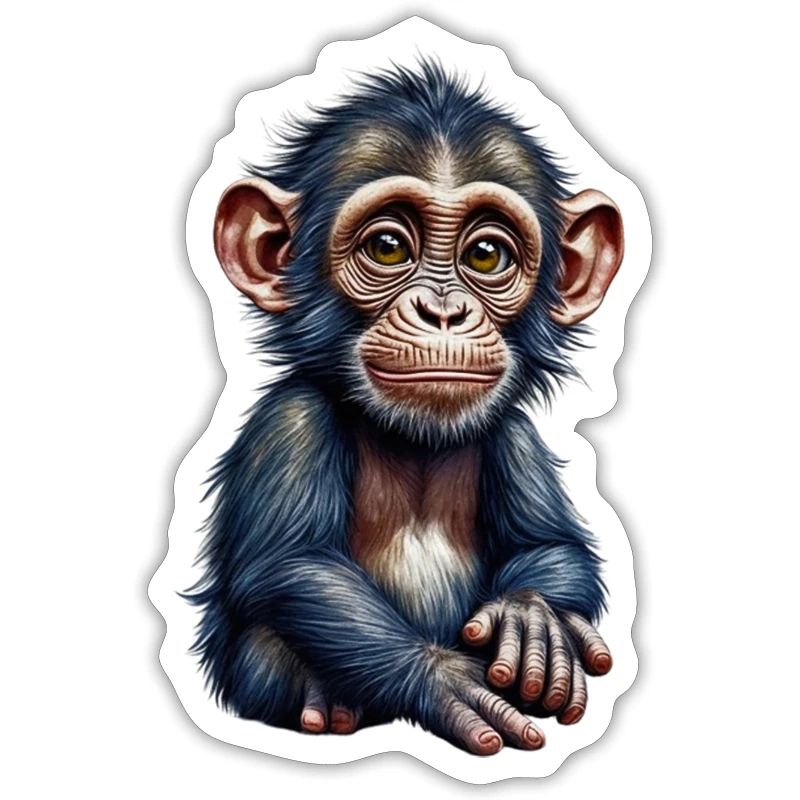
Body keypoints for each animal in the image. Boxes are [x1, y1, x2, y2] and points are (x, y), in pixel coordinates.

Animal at [187, 61, 624, 756]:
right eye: (389, 247)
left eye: (486, 256)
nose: (443, 312)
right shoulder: (290, 422)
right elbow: (293, 563)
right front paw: (444, 678)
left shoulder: (517, 435)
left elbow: (552, 541)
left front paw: (531, 618)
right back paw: (325, 704)